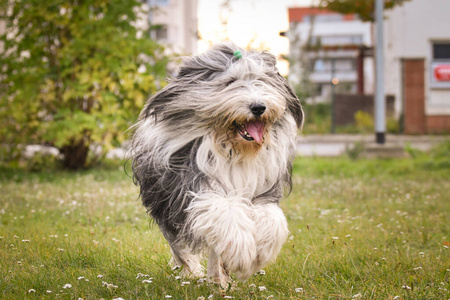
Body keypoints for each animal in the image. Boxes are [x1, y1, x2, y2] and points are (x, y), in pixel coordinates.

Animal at [131, 42, 306, 286]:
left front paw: (260, 253)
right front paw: (242, 254)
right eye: (231, 82)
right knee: (179, 243)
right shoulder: (191, 187)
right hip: (165, 203)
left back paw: (218, 278)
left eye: (262, 80)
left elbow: (273, 219)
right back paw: (195, 272)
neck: (235, 151)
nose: (258, 107)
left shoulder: (262, 192)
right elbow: (222, 209)